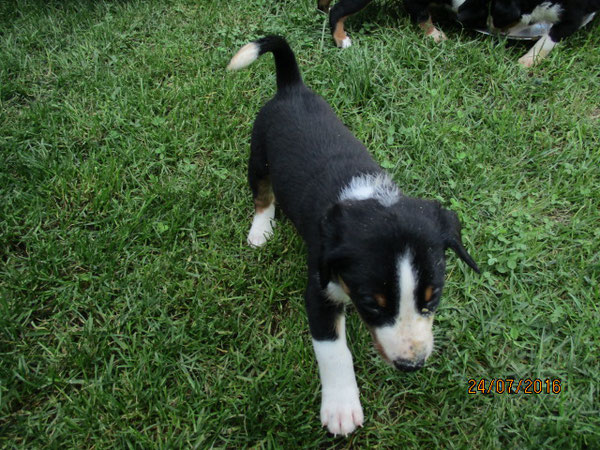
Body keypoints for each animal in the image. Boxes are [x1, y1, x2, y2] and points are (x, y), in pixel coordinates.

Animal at [227, 35, 480, 436]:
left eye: (435, 295)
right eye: (372, 304)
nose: (411, 365)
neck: (368, 199)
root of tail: (291, 87)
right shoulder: (319, 292)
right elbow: (333, 351)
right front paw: (341, 408)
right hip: (258, 154)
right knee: (262, 193)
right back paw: (261, 229)